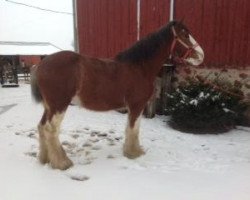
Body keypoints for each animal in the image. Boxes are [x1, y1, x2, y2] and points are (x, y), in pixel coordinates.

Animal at [30, 20, 203, 170]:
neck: (139, 67)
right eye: (185, 34)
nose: (201, 55)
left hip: (49, 107)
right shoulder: (137, 105)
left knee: (41, 126)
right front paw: (134, 153)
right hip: (59, 106)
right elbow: (134, 129)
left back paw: (45, 159)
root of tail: (41, 64)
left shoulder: (132, 107)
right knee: (50, 129)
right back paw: (62, 163)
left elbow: (129, 128)